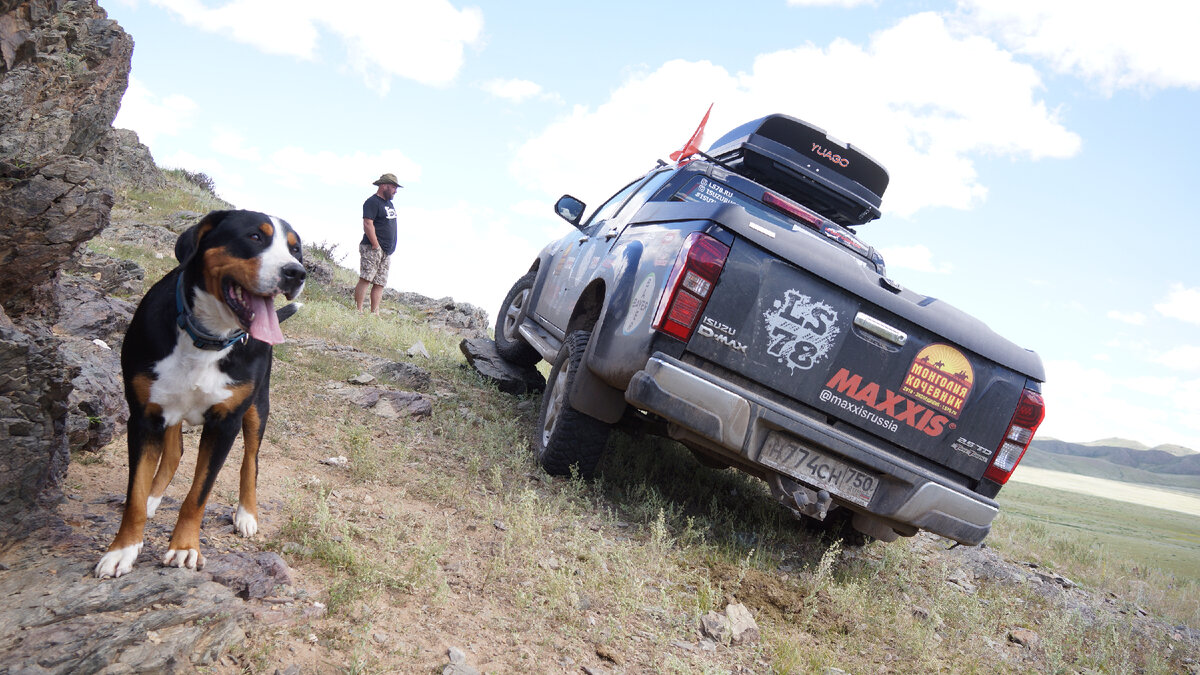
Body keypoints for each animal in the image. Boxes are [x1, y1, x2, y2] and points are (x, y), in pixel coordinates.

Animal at [96, 210, 307, 578]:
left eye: (297, 250)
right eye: (254, 237)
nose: (296, 272)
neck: (207, 339)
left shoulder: (225, 424)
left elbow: (198, 494)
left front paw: (184, 547)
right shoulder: (144, 416)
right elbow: (134, 494)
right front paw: (123, 549)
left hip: (257, 408)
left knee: (250, 461)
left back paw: (246, 514)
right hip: (170, 409)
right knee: (173, 452)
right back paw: (154, 498)